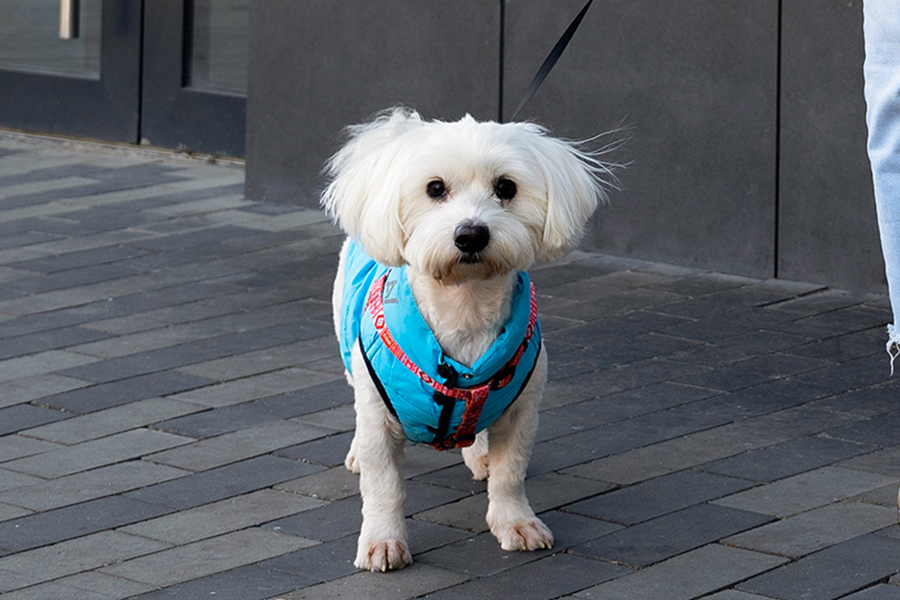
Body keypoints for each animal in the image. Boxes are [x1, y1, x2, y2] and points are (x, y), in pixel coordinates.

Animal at [320, 108, 608, 572]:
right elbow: (383, 484)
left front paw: (515, 522)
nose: (471, 234)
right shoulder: (379, 415)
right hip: (349, 348)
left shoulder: (522, 409)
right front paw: (383, 540)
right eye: (435, 188)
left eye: (506, 187)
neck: (464, 306)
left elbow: (511, 474)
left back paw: (478, 451)